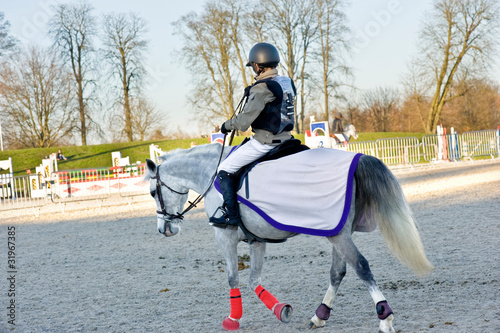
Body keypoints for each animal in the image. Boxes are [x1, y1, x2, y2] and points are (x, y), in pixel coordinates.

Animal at [143, 141, 432, 330]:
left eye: (152, 192)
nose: (164, 229)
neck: (211, 172)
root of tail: (357, 158)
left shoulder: (225, 237)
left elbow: (233, 278)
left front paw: (233, 319)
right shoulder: (257, 240)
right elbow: (254, 279)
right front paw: (280, 309)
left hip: (338, 234)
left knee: (361, 266)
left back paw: (385, 318)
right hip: (337, 231)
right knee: (338, 272)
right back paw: (320, 315)